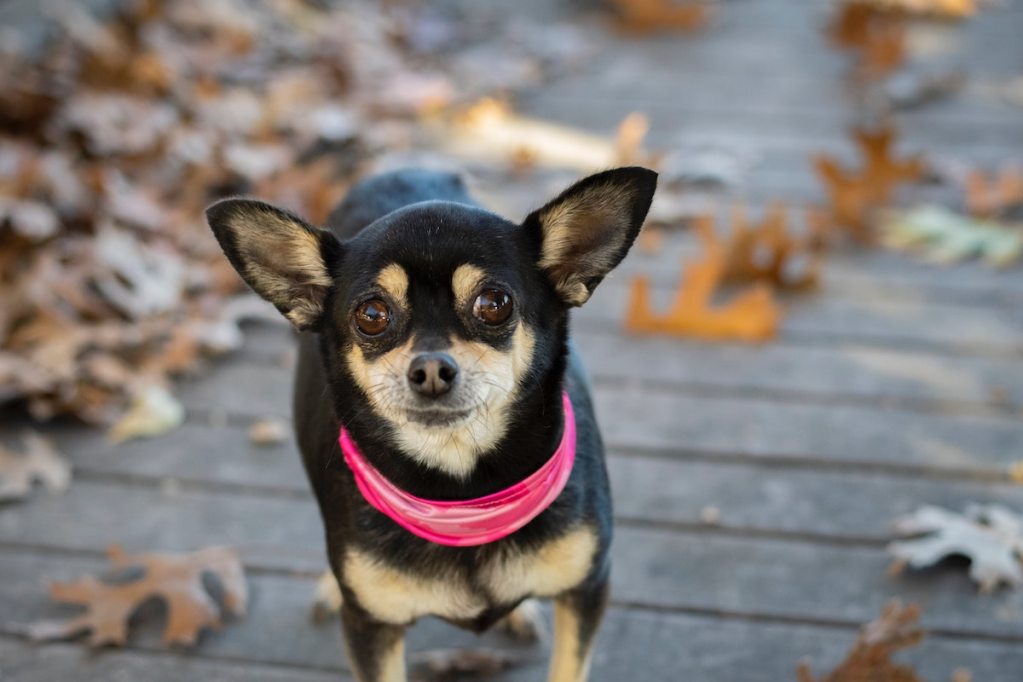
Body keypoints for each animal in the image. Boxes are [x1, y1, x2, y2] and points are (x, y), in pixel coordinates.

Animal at [205, 166, 654, 682]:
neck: (463, 499)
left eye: (494, 303)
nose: (432, 369)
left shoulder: (586, 591)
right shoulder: (370, 630)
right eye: (372, 314)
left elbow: (567, 669)